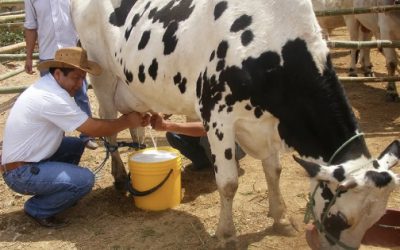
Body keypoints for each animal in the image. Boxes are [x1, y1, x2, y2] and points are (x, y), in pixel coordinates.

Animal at [71, 0, 400, 248]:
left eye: (376, 220)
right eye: (340, 219)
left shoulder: (268, 123)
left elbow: (274, 171)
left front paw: (281, 218)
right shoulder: (218, 116)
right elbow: (228, 183)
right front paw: (227, 234)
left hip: (134, 86)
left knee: (134, 124)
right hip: (102, 77)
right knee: (109, 125)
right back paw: (118, 176)